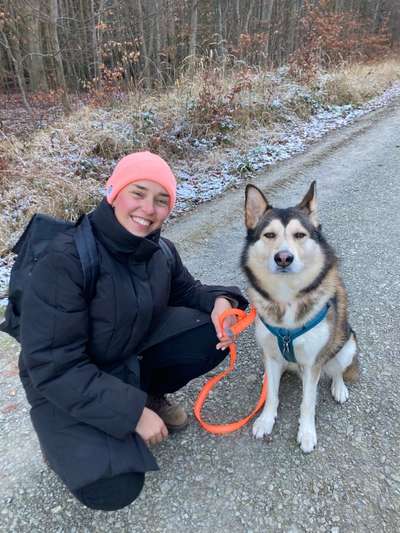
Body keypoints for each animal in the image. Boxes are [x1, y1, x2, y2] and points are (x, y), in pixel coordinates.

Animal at [242, 181, 358, 450]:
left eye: (299, 235)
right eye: (269, 235)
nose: (283, 258)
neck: (286, 297)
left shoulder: (313, 362)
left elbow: (308, 402)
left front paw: (306, 433)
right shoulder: (271, 355)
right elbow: (272, 396)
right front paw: (266, 420)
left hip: (347, 345)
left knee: (337, 369)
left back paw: (339, 388)